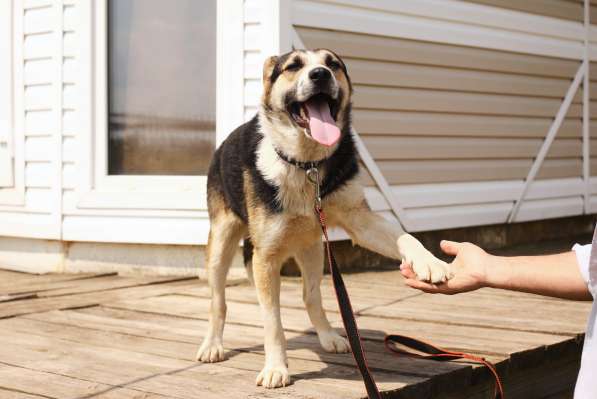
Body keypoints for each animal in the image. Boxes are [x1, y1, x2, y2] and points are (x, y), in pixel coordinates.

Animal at [196, 50, 452, 390]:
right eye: (293, 66)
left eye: (333, 64)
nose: (320, 75)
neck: (307, 163)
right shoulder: (266, 258)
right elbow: (272, 321)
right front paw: (276, 367)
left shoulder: (360, 221)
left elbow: (405, 237)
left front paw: (430, 262)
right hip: (221, 243)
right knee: (218, 302)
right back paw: (212, 344)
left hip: (314, 250)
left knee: (311, 296)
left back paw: (329, 336)